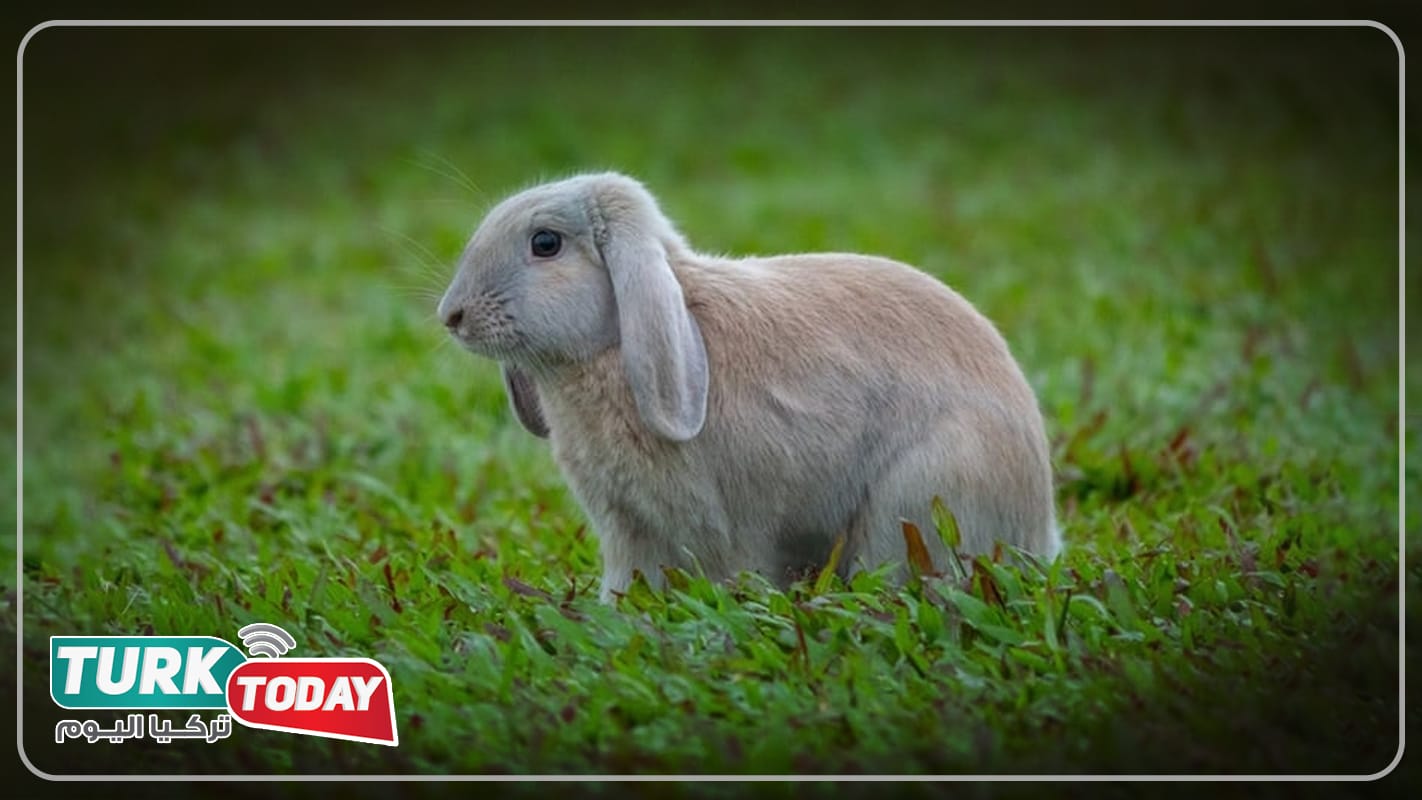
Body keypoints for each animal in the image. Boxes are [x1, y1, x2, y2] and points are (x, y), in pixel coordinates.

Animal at [438, 171, 1060, 602]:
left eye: (546, 243)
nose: (452, 316)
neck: (612, 352)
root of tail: (1037, 524)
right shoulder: (628, 528)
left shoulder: (733, 524)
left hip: (917, 499)